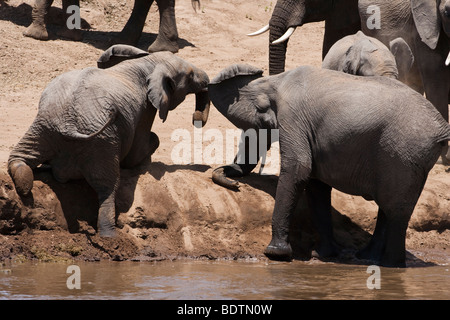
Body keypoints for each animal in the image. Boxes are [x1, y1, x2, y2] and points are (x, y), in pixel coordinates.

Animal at [7, 43, 210, 236]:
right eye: (190, 76)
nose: (195, 118)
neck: (148, 62)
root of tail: (68, 125)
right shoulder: (146, 108)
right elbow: (138, 151)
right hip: (101, 142)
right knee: (108, 189)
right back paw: (109, 236)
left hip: (44, 126)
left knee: (19, 157)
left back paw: (24, 185)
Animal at [209, 63, 450, 266]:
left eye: (260, 127)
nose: (235, 184)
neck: (274, 81)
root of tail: (441, 127)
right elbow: (316, 185)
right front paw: (324, 255)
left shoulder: (293, 118)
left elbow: (298, 169)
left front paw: (276, 254)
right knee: (390, 206)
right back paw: (368, 257)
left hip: (405, 151)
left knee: (396, 212)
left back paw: (391, 265)